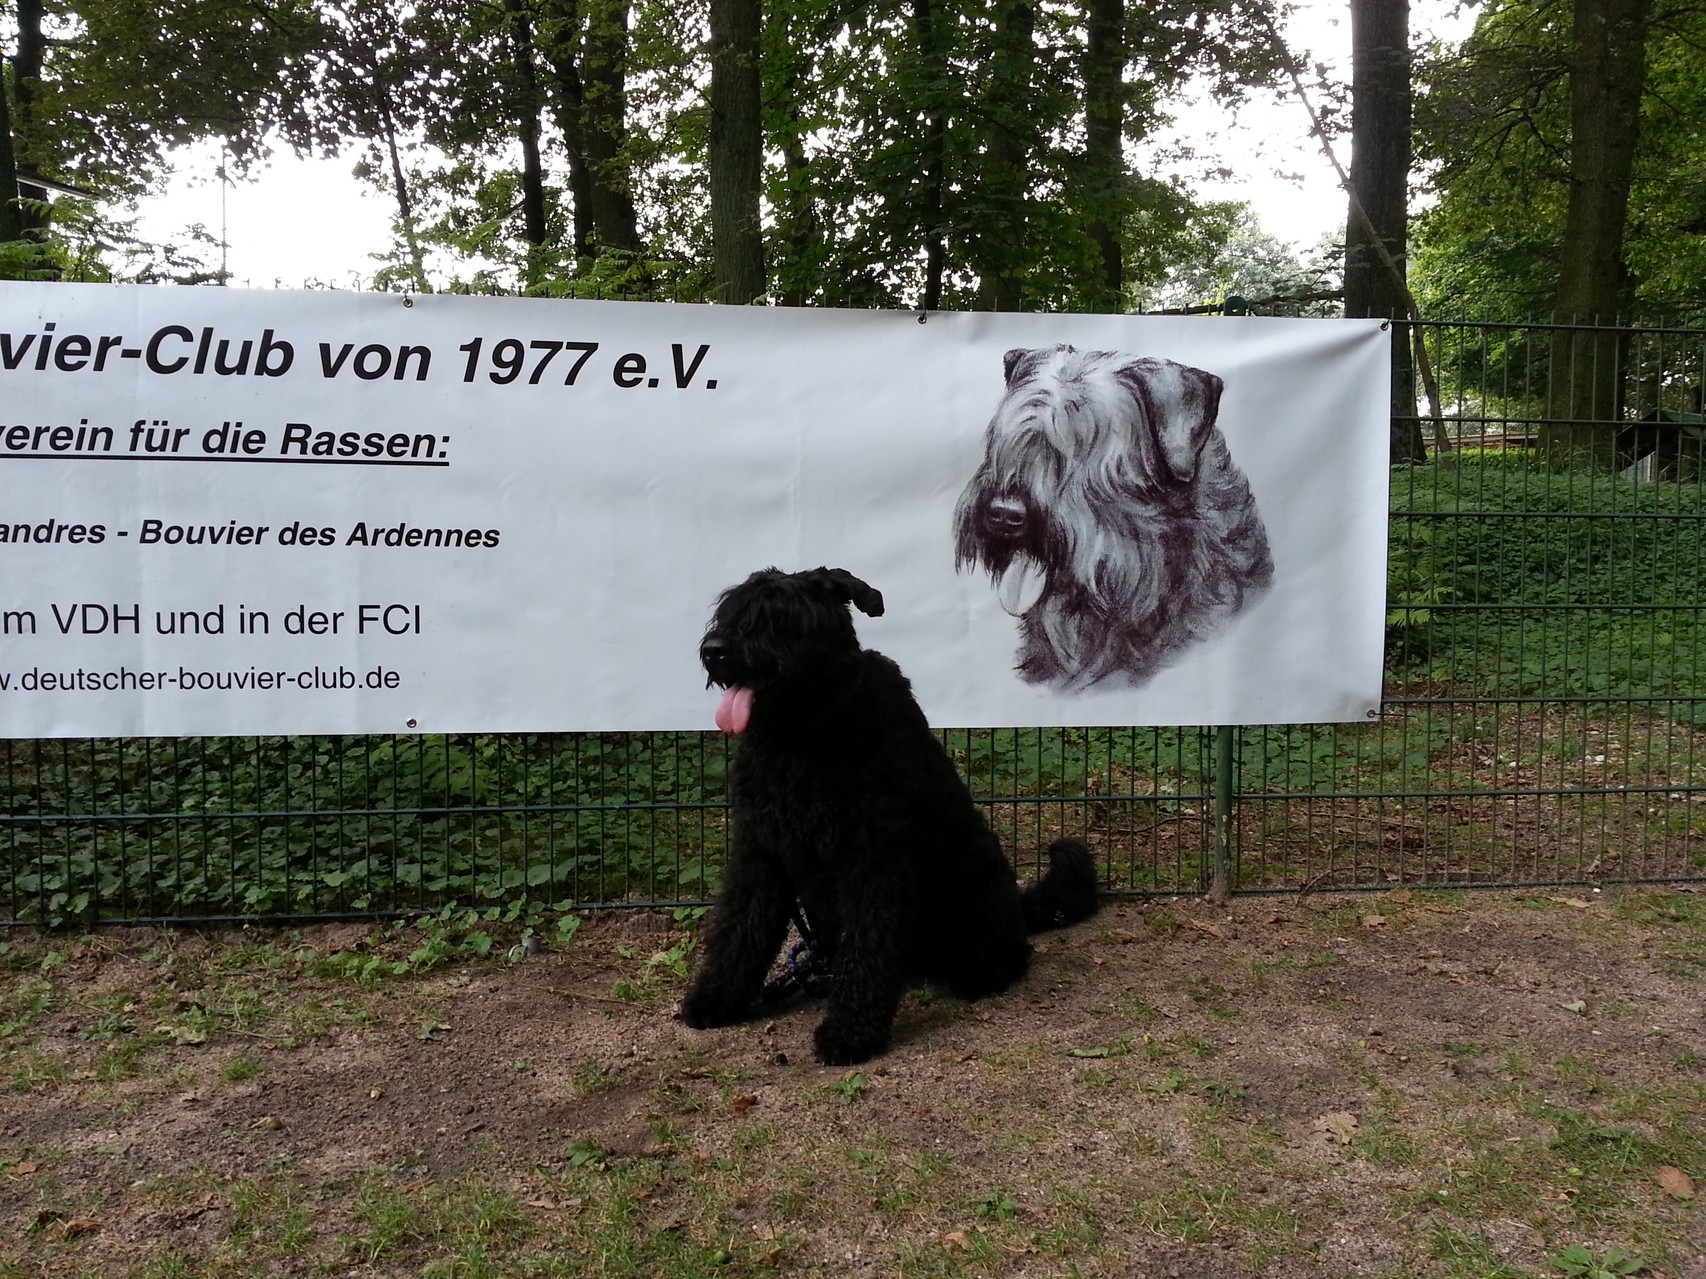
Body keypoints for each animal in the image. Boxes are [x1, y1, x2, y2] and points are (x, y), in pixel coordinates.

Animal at [682, 569, 1105, 1070]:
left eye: (778, 617)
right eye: (730, 610)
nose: (715, 650)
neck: (806, 736)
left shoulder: (873, 859)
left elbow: (867, 949)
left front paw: (850, 1033)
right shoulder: (760, 852)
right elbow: (740, 929)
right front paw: (715, 999)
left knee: (1006, 951)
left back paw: (983, 974)